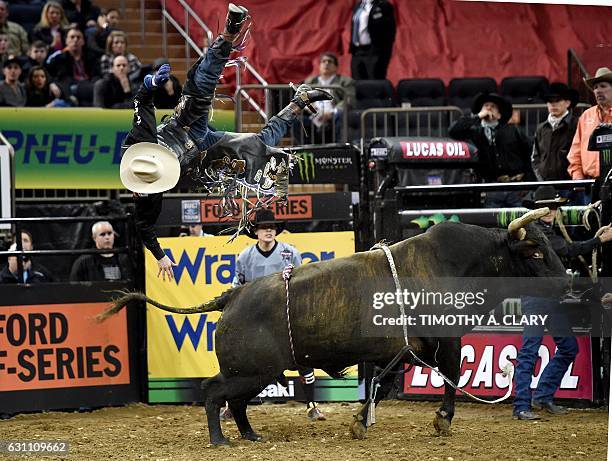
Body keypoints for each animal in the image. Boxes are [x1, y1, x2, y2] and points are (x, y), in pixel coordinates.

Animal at [99, 210, 564, 444]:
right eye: (536, 253)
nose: (567, 282)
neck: (454, 262)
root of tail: (233, 296)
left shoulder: (399, 348)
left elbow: (382, 382)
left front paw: (360, 420)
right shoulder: (445, 339)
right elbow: (451, 376)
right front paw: (443, 419)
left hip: (252, 372)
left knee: (236, 402)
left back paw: (250, 435)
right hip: (251, 370)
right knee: (215, 393)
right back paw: (221, 440)